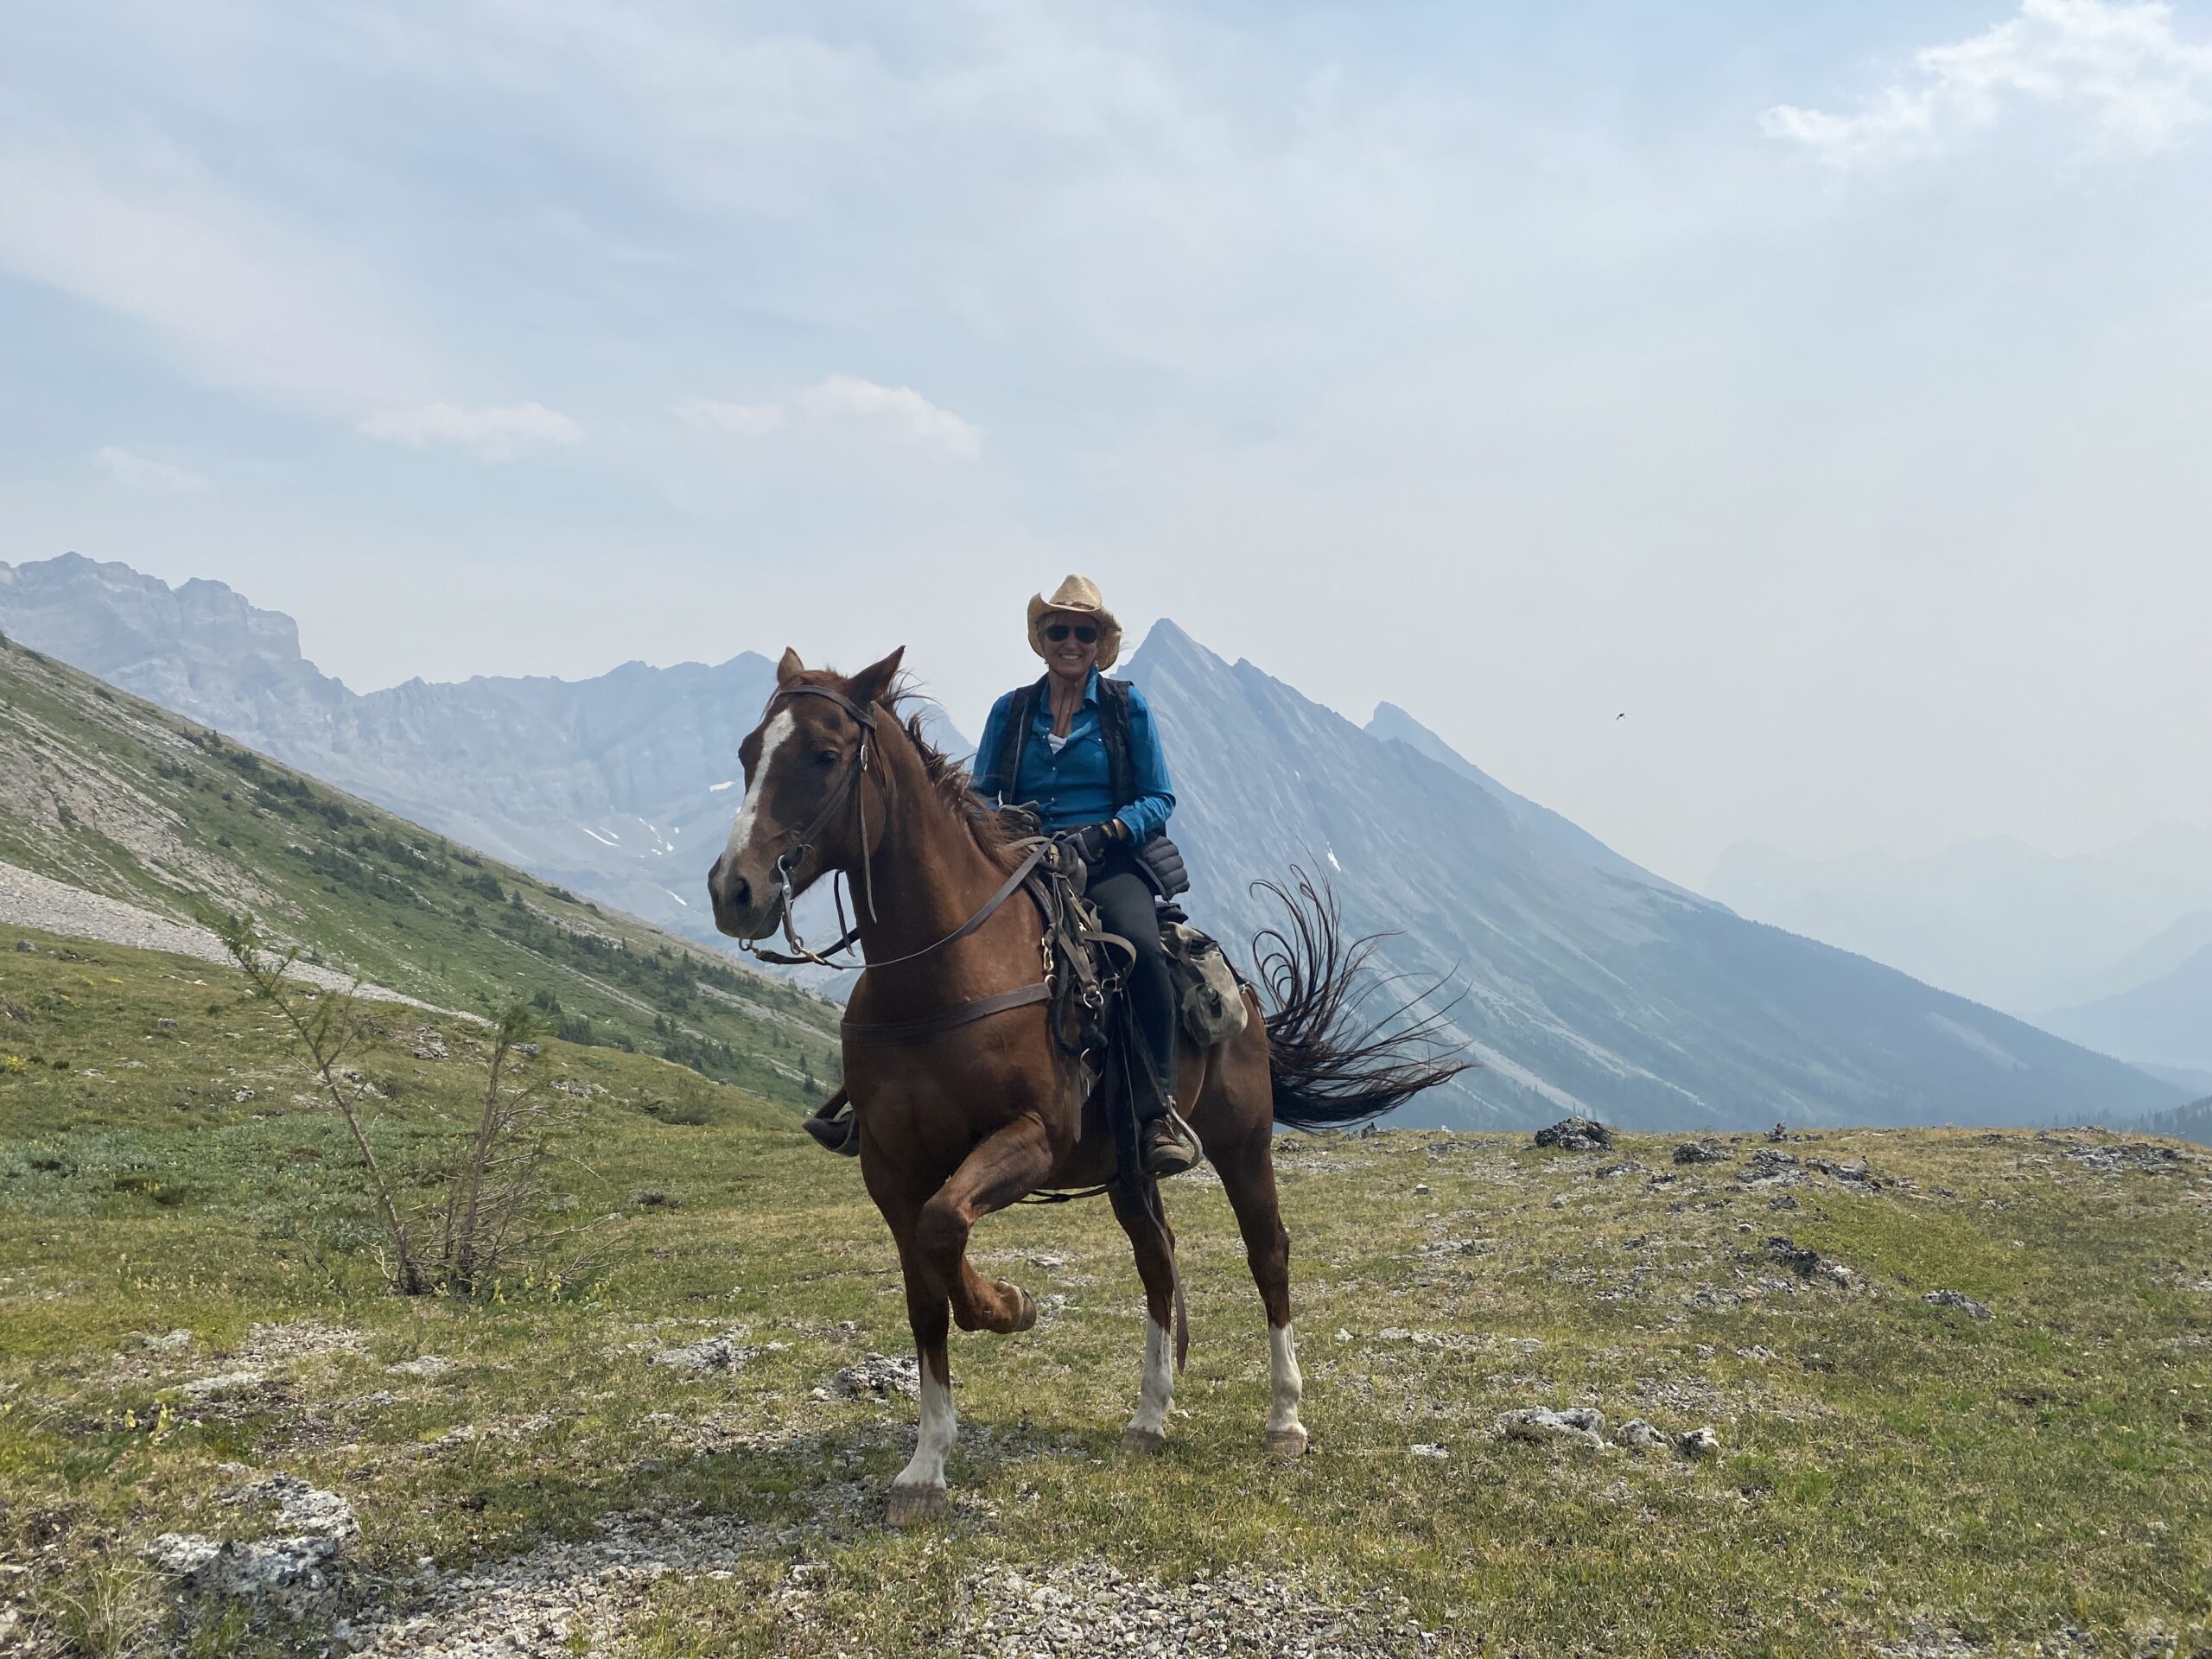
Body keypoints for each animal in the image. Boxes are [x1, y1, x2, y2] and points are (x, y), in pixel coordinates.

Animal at [707, 647, 1465, 1523]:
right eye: (747, 753)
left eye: (825, 756)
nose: (733, 891)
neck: (939, 973)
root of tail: (1240, 988)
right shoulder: (889, 1170)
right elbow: (925, 1293)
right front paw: (926, 1463)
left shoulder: (1031, 1140)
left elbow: (945, 1231)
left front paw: (1008, 1305)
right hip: (1129, 1171)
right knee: (1157, 1261)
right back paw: (1150, 1418)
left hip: (1242, 1143)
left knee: (1266, 1252)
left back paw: (1284, 1420)